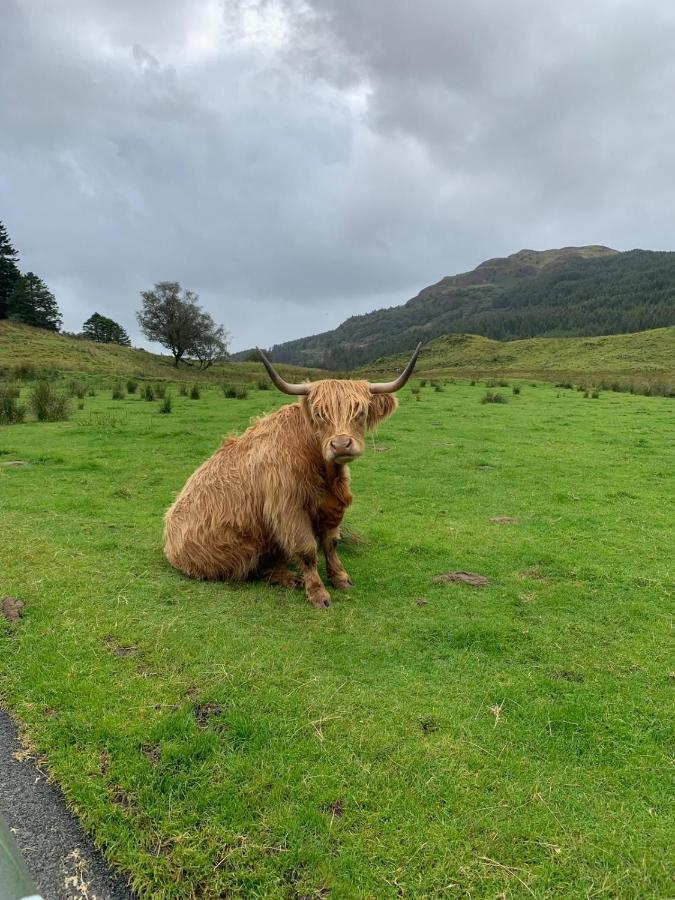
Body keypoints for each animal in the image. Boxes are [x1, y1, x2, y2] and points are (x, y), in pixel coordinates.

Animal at [164, 342, 420, 604]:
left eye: (360, 412)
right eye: (319, 414)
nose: (340, 445)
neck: (324, 470)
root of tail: (169, 533)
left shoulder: (331, 504)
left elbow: (331, 543)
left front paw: (340, 578)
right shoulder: (288, 508)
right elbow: (307, 549)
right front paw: (318, 592)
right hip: (244, 548)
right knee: (254, 570)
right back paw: (291, 578)